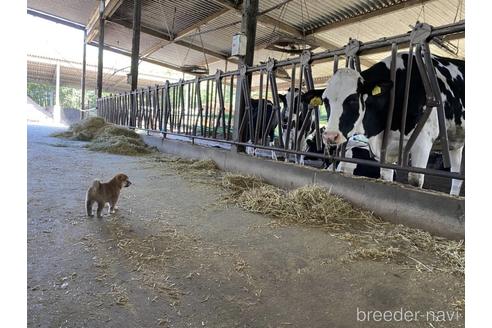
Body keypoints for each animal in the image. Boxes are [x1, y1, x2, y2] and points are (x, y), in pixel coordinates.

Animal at [304, 53, 466, 195]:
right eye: (325, 101)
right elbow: (385, 178)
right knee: (456, 178)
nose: (330, 136)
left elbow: (415, 181)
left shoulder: (423, 141)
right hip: (456, 141)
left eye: (353, 99)